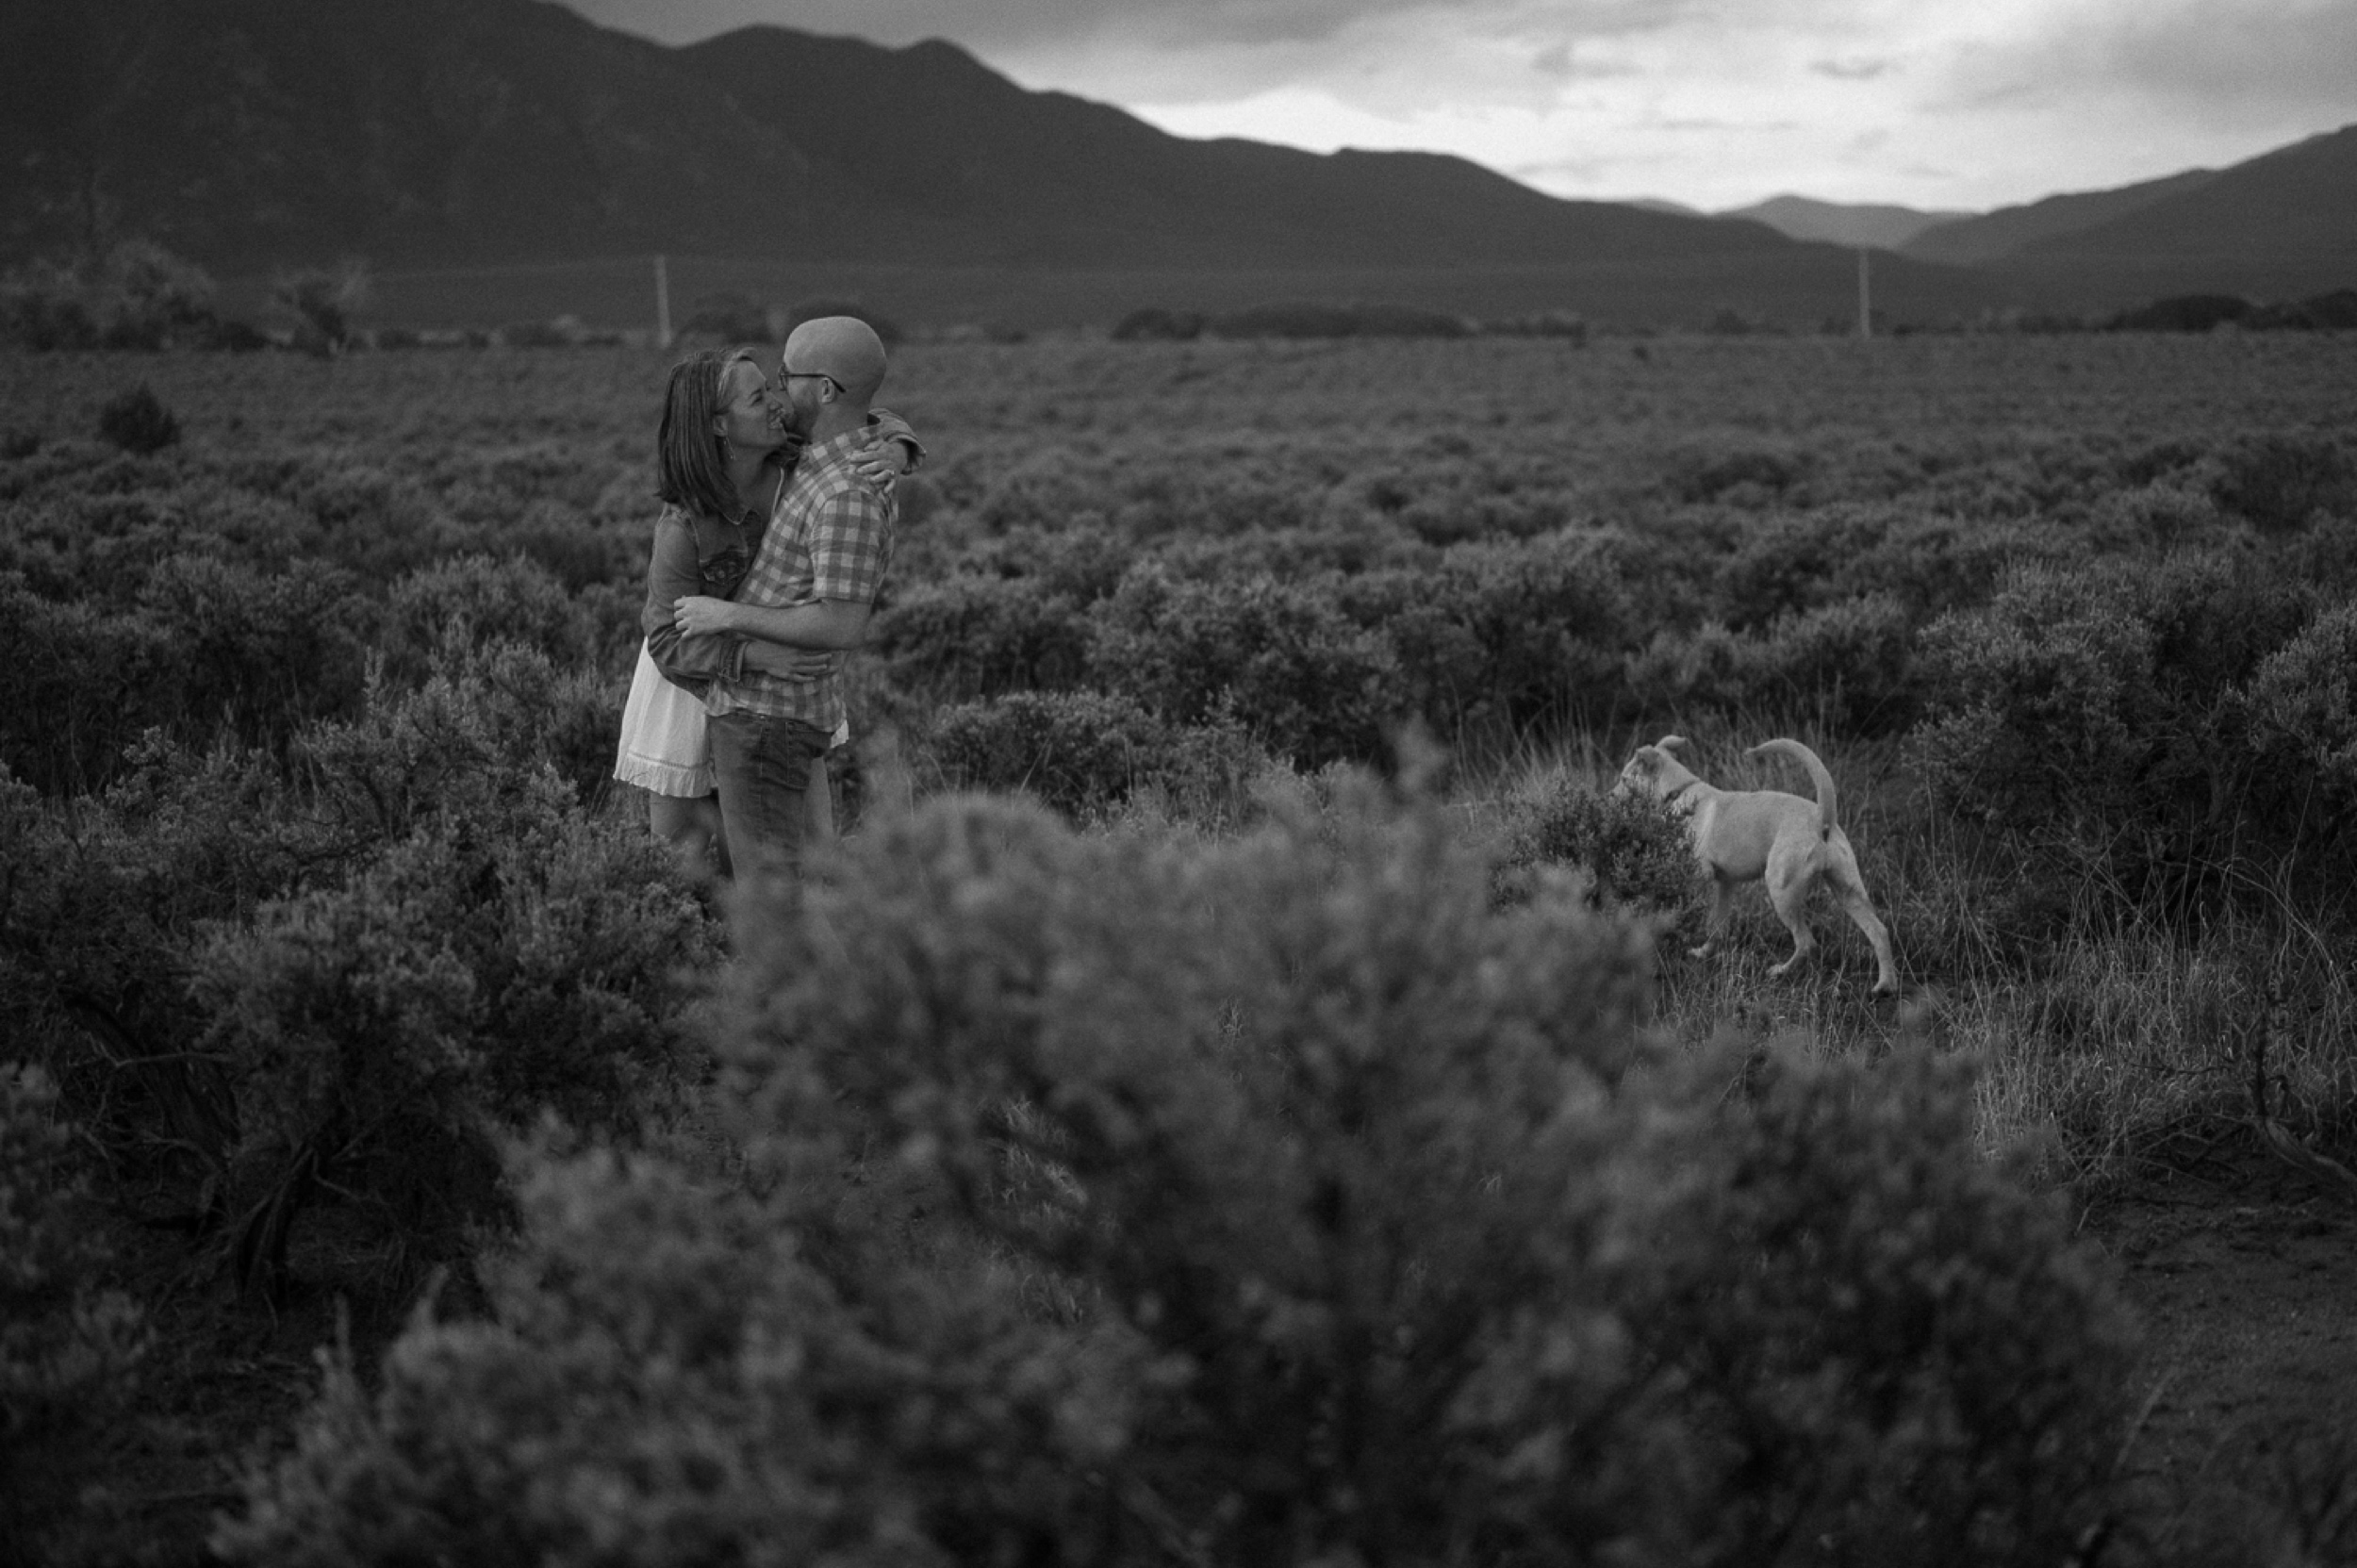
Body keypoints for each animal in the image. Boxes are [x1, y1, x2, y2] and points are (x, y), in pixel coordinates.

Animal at [1622, 731, 1895, 990]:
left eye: (1624, 780)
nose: (1611, 798)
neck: (1680, 790)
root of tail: (1822, 817)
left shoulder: (1701, 875)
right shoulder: (1724, 884)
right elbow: (1717, 925)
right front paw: (1704, 953)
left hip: (1781, 889)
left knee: (1807, 942)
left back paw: (1780, 972)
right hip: (1847, 890)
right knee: (1879, 931)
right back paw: (1884, 986)